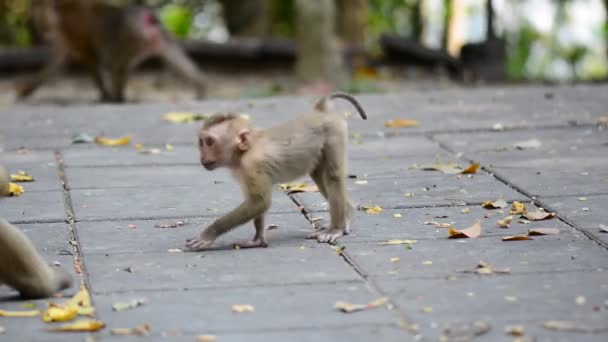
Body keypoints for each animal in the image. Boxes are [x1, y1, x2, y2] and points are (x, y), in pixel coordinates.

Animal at [16, 0, 207, 102]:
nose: (43, 29)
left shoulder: (72, 31)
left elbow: (90, 59)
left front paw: (105, 95)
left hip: (129, 36)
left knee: (114, 63)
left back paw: (116, 97)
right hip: (154, 36)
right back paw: (200, 86)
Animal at [185, 92, 366, 250]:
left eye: (209, 142)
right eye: (201, 142)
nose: (203, 156)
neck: (246, 151)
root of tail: (320, 111)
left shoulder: (252, 165)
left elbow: (260, 202)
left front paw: (209, 234)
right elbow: (256, 203)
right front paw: (257, 240)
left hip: (334, 133)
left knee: (332, 177)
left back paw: (336, 228)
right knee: (320, 178)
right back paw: (347, 215)